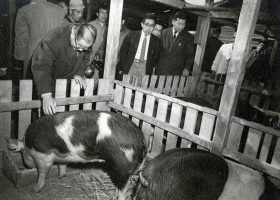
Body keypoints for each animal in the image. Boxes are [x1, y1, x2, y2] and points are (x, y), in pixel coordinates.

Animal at [7, 110, 145, 199]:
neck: (28, 144)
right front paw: (61, 176)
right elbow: (62, 165)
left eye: (21, 152)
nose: (27, 165)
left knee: (124, 185)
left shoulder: (43, 157)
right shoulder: (61, 155)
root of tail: (140, 137)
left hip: (122, 162)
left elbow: (42, 174)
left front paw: (35, 190)